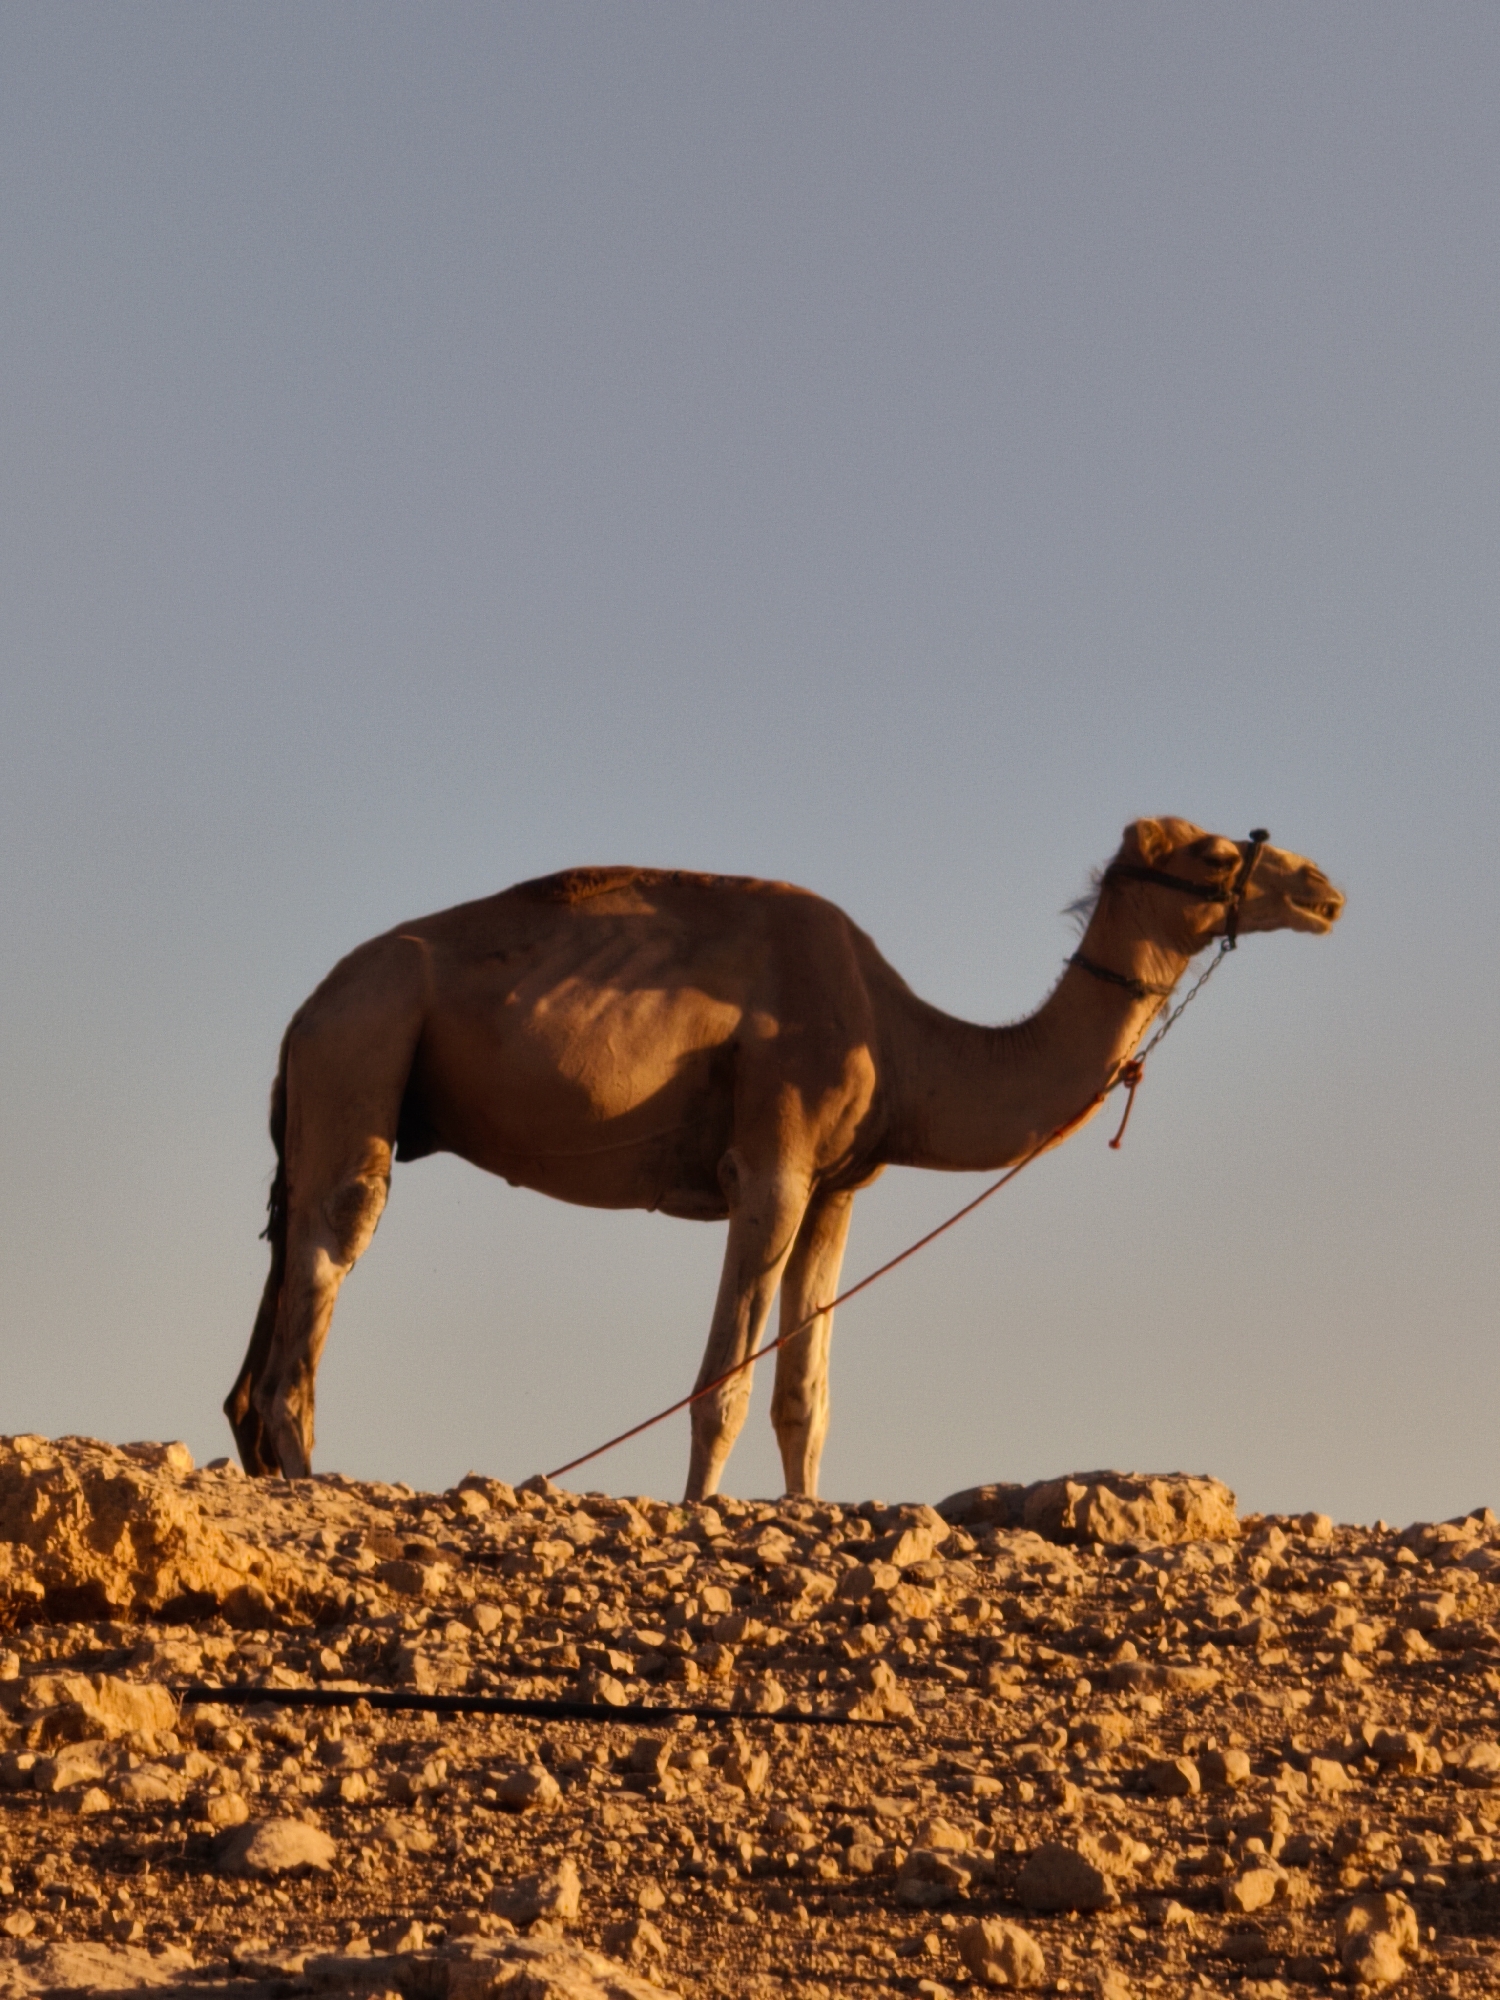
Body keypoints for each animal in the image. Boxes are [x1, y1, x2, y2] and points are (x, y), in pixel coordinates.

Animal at [226, 817, 1343, 1499]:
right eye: (1214, 852)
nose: (1325, 889)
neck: (902, 1036)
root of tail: (303, 1011)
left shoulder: (841, 1187)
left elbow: (805, 1393)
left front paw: (803, 1503)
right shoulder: (773, 1163)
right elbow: (720, 1383)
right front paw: (699, 1511)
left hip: (323, 1088)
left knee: (284, 1256)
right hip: (369, 1042)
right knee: (333, 1240)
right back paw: (307, 1467)